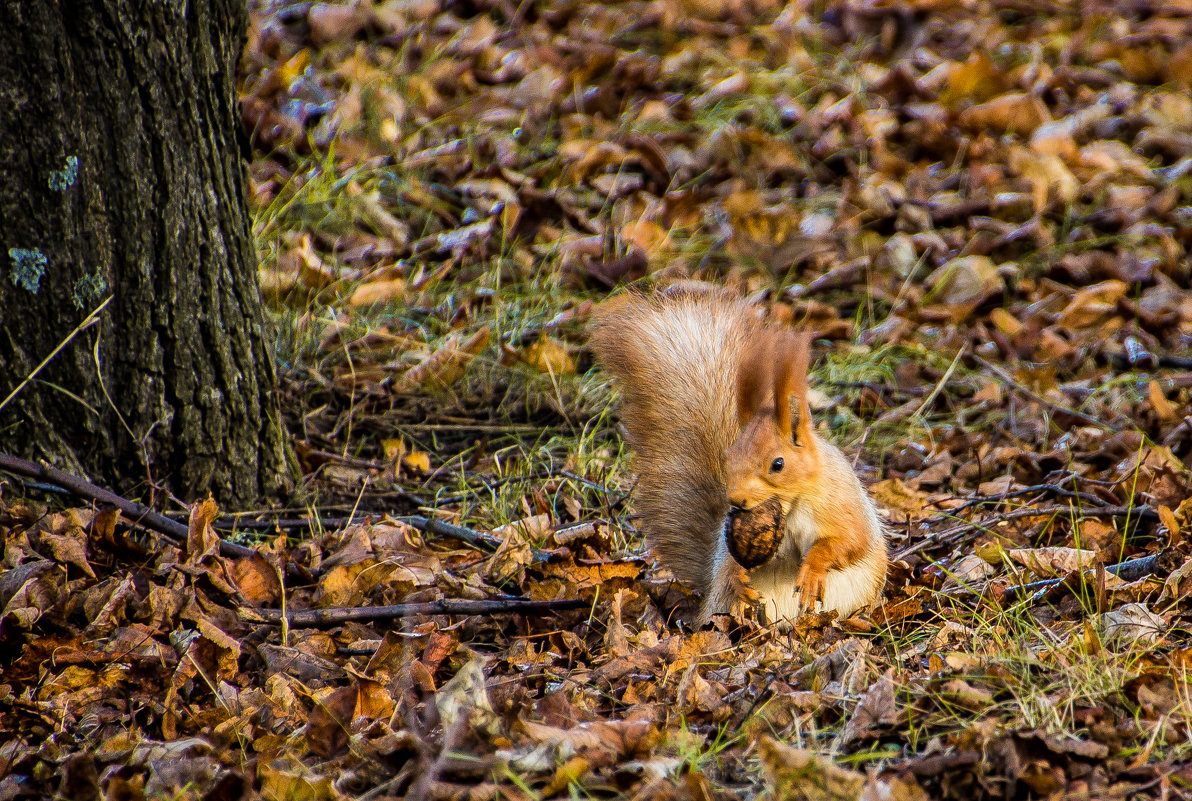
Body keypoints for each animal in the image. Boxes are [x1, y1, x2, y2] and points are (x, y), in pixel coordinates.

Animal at [588, 288, 886, 624]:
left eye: (778, 464)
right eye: (728, 458)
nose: (736, 500)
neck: (793, 505)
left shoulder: (843, 504)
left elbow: (850, 541)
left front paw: (812, 569)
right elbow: (736, 557)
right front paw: (738, 575)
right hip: (728, 603)